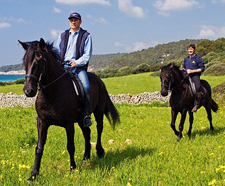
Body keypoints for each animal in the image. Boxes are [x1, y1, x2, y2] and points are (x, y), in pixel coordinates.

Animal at [18, 38, 120, 180]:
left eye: (39, 60)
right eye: (25, 61)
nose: (28, 91)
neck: (52, 92)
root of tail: (99, 80)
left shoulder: (69, 124)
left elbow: (70, 146)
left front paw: (73, 169)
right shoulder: (42, 122)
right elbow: (39, 147)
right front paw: (33, 175)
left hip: (98, 111)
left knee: (99, 128)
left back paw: (100, 152)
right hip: (82, 119)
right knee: (87, 132)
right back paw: (86, 157)